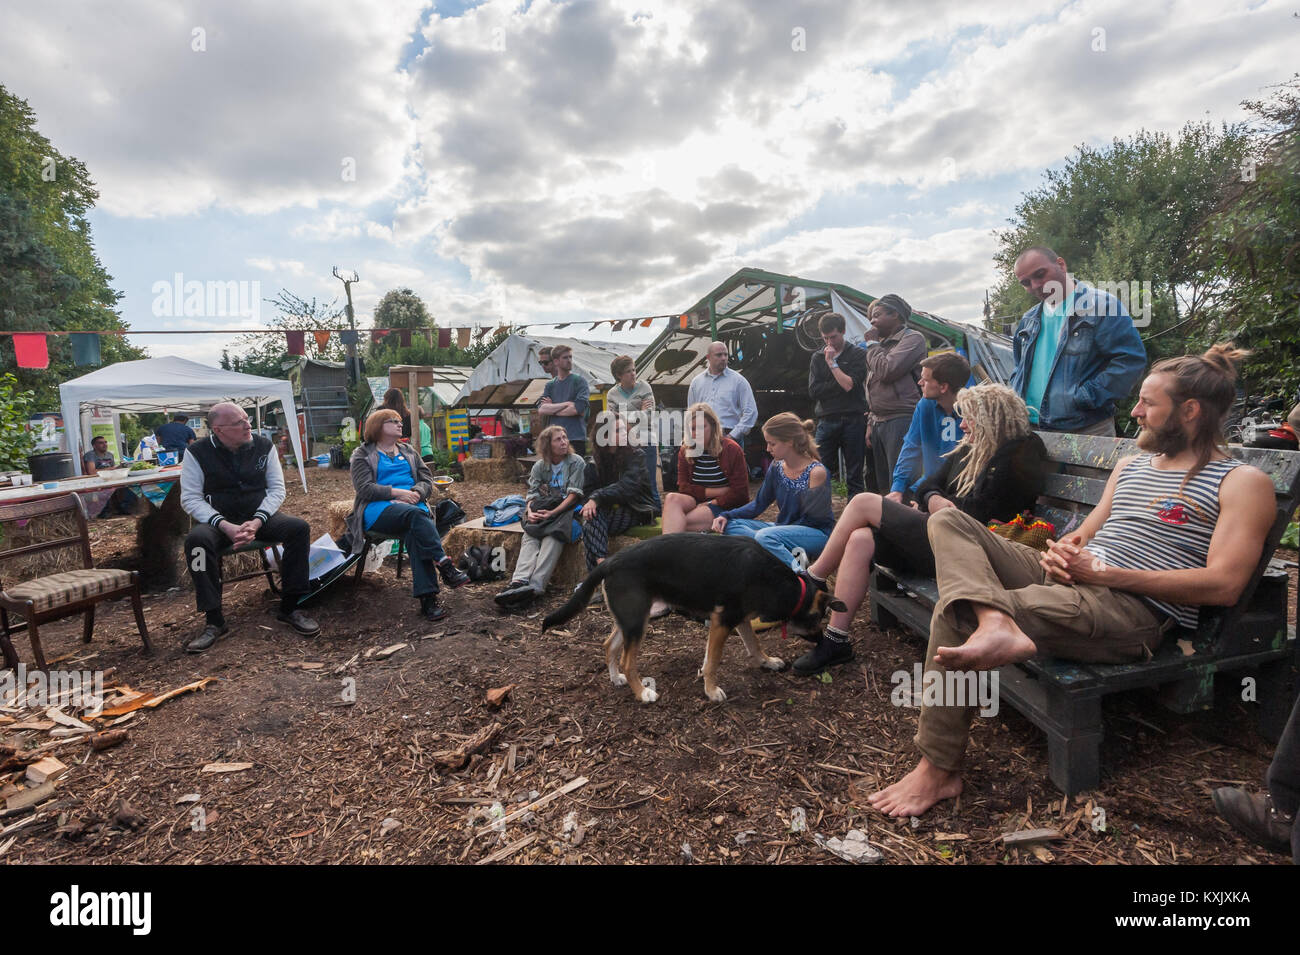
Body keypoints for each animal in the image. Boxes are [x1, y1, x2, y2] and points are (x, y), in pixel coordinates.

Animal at [538, 535, 842, 706]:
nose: (820, 639)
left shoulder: (738, 619)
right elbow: (714, 661)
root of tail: (609, 562)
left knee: (608, 645)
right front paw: (711, 690)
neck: (773, 579)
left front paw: (766, 661)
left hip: (629, 618)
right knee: (626, 659)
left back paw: (616, 679)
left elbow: (753, 645)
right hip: (636, 622)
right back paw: (642, 693)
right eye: (817, 616)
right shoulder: (722, 621)